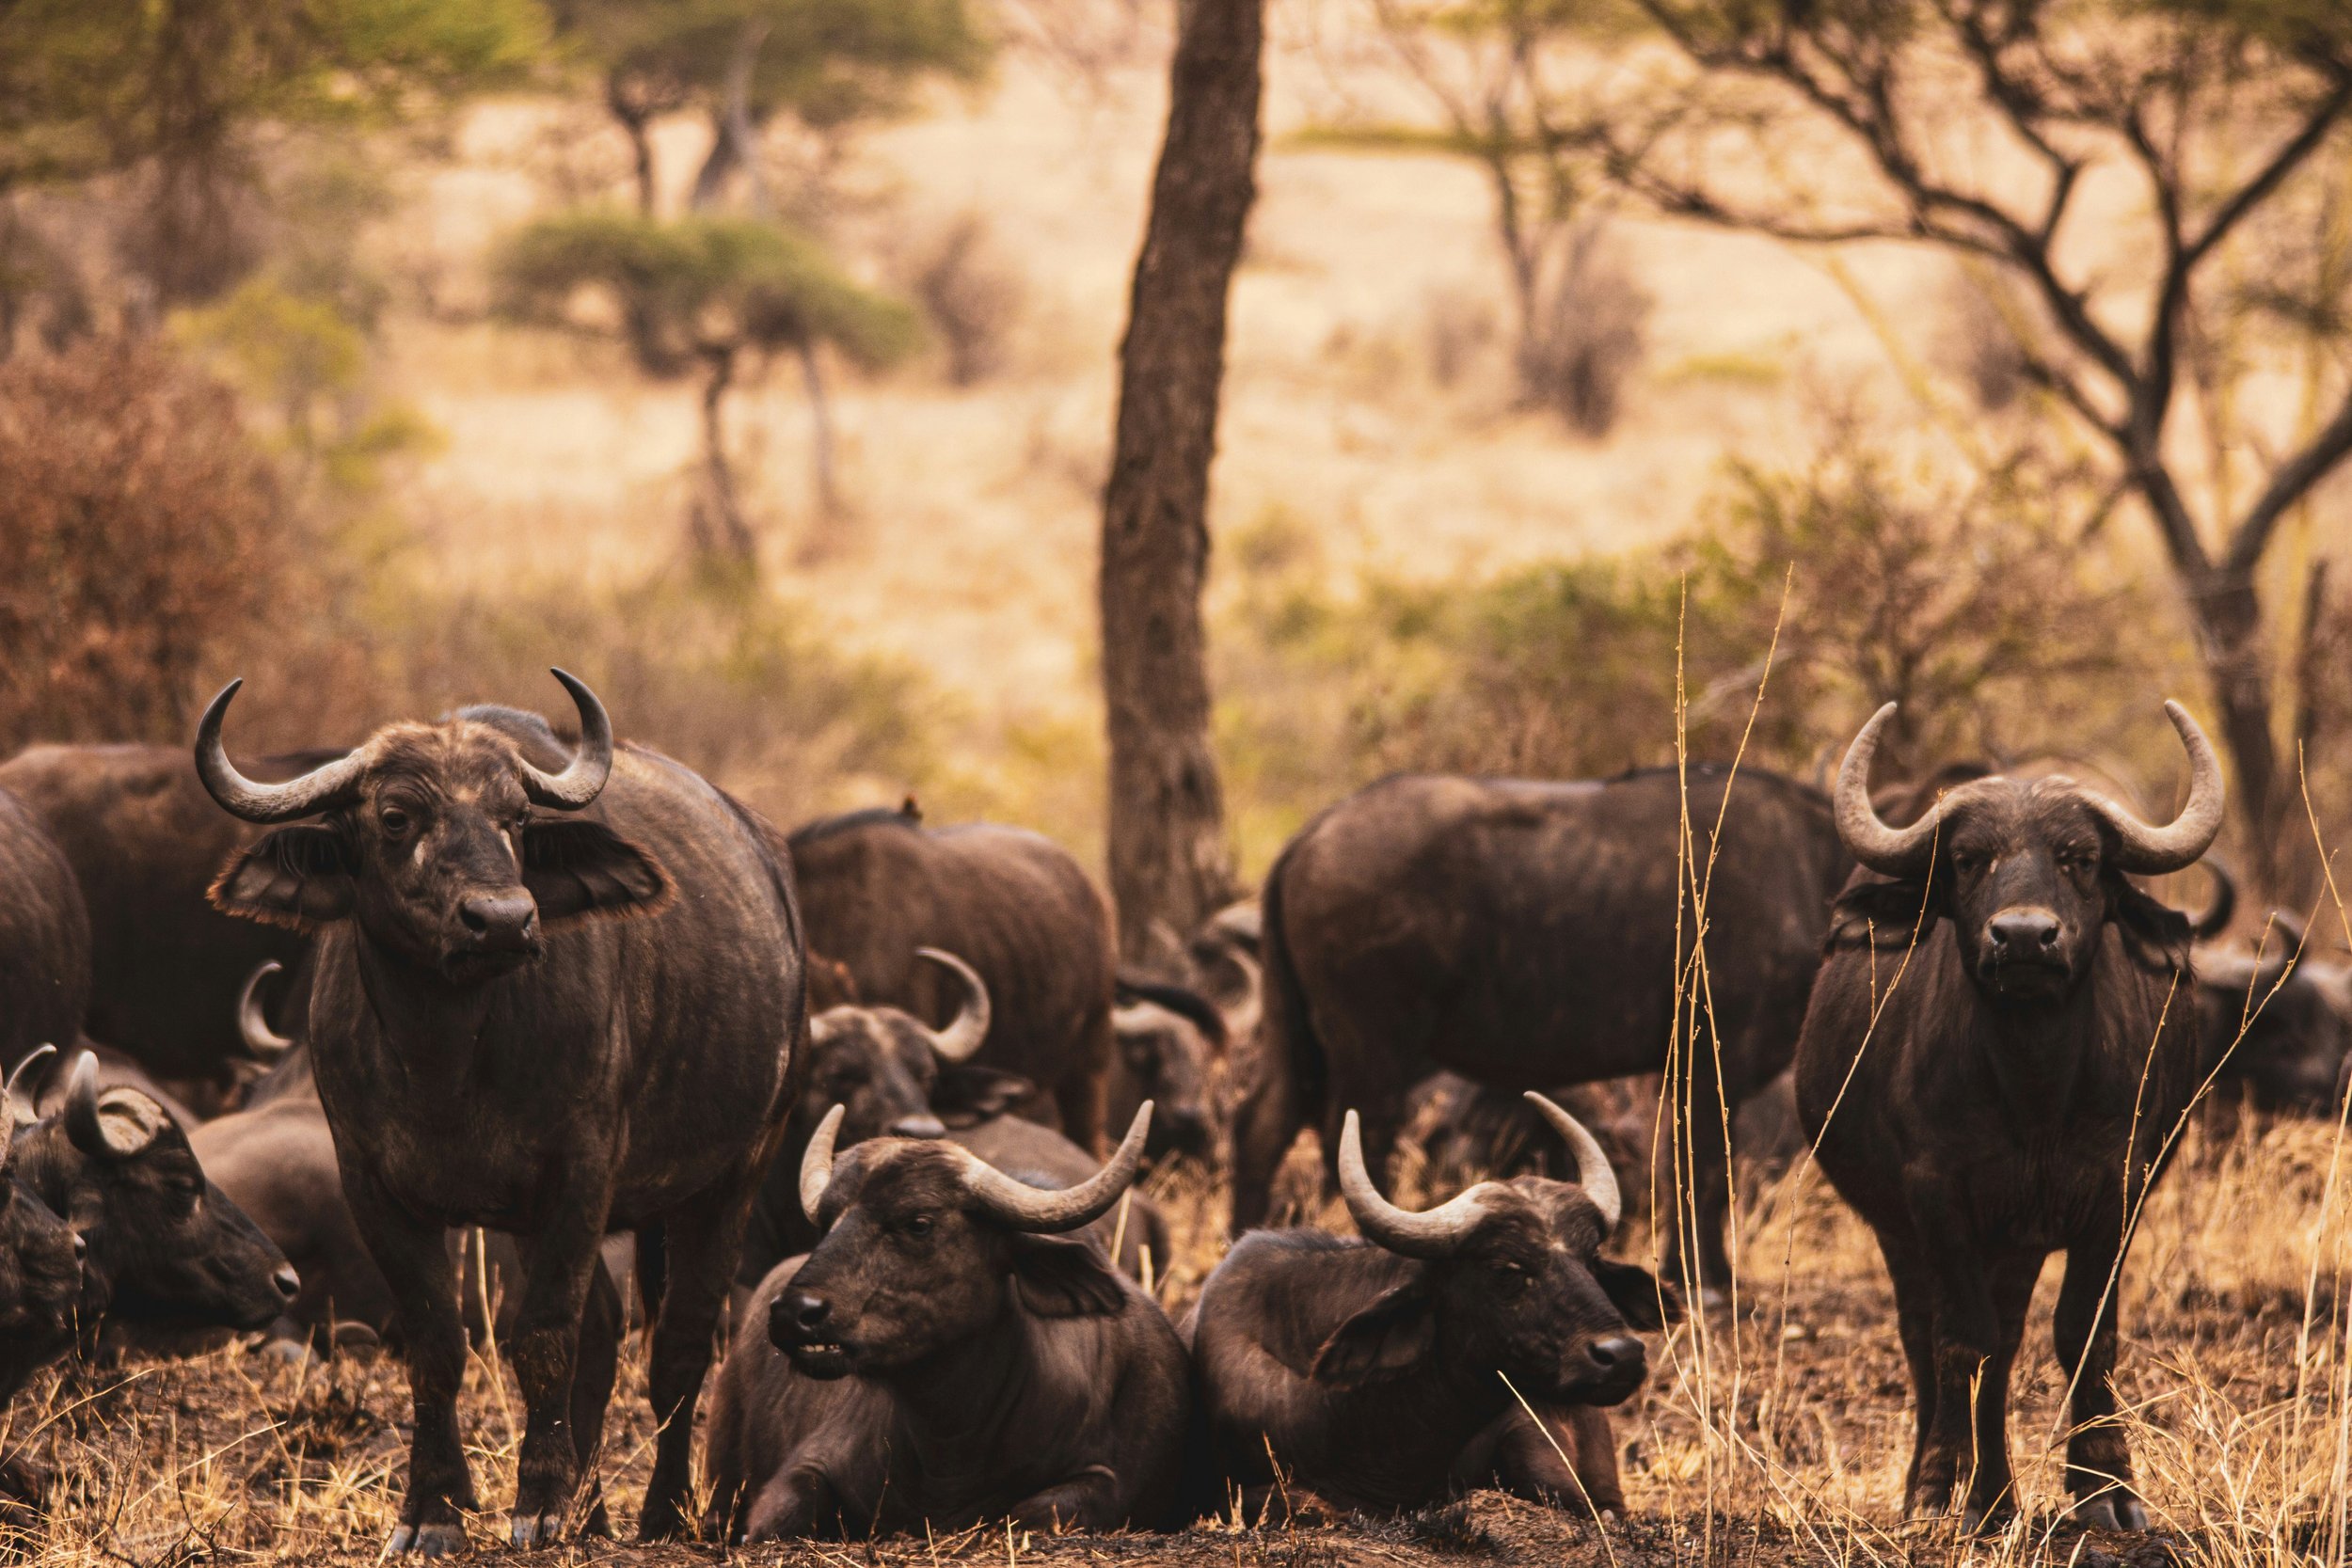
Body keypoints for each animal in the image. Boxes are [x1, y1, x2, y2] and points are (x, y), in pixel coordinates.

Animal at [195, 671, 803, 1551]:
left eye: (515, 818)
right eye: (395, 816)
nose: (506, 920)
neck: (446, 1057)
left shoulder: (580, 1173)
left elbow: (543, 1337)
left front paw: (539, 1503)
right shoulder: (374, 1184)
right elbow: (438, 1342)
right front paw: (434, 1510)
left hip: (733, 1173)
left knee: (681, 1345)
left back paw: (660, 1512)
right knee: (605, 1335)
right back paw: (591, 1511)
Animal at [705, 1103, 1190, 1538]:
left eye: (919, 1223)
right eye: (827, 1221)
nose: (794, 1313)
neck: (952, 1443)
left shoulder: (1105, 1481)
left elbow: (1032, 1511)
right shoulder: (808, 1465)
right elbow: (780, 1517)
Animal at [1233, 765, 1850, 1296]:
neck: (1812, 864)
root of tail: (1314, 832)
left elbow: (1682, 1163)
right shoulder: (1711, 1053)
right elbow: (1705, 1167)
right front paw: (1708, 1280)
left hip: (1298, 1037)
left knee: (1262, 1126)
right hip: (1374, 1049)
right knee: (1361, 1147)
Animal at [1795, 701, 2221, 1531]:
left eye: (2079, 857)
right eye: (1968, 859)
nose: (2024, 936)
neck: (2035, 1090)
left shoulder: (2116, 1191)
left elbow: (2085, 1333)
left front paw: (2108, 1488)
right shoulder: (1935, 1194)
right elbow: (1962, 1341)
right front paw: (1939, 1486)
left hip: (2017, 1242)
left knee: (2010, 1340)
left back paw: (1997, 1497)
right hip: (1905, 1230)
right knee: (1929, 1338)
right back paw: (1961, 1490)